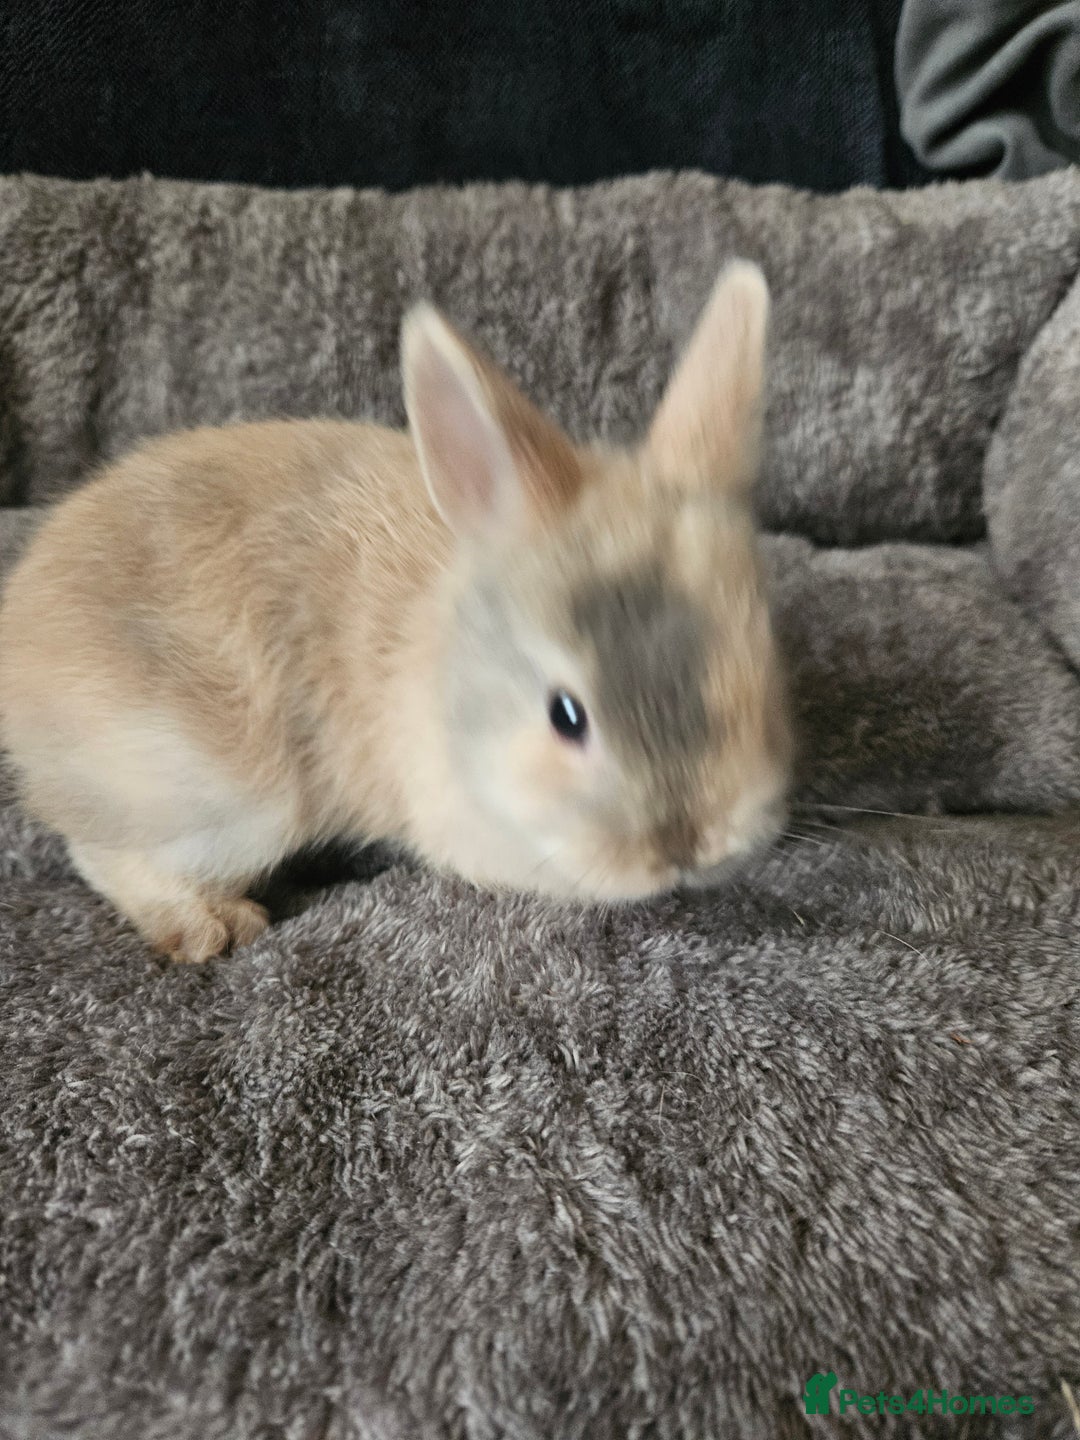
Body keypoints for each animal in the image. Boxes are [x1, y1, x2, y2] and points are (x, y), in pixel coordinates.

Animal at [0, 260, 792, 962]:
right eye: (566, 717)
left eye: (765, 669)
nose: (690, 844)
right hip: (228, 795)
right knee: (101, 851)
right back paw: (210, 927)